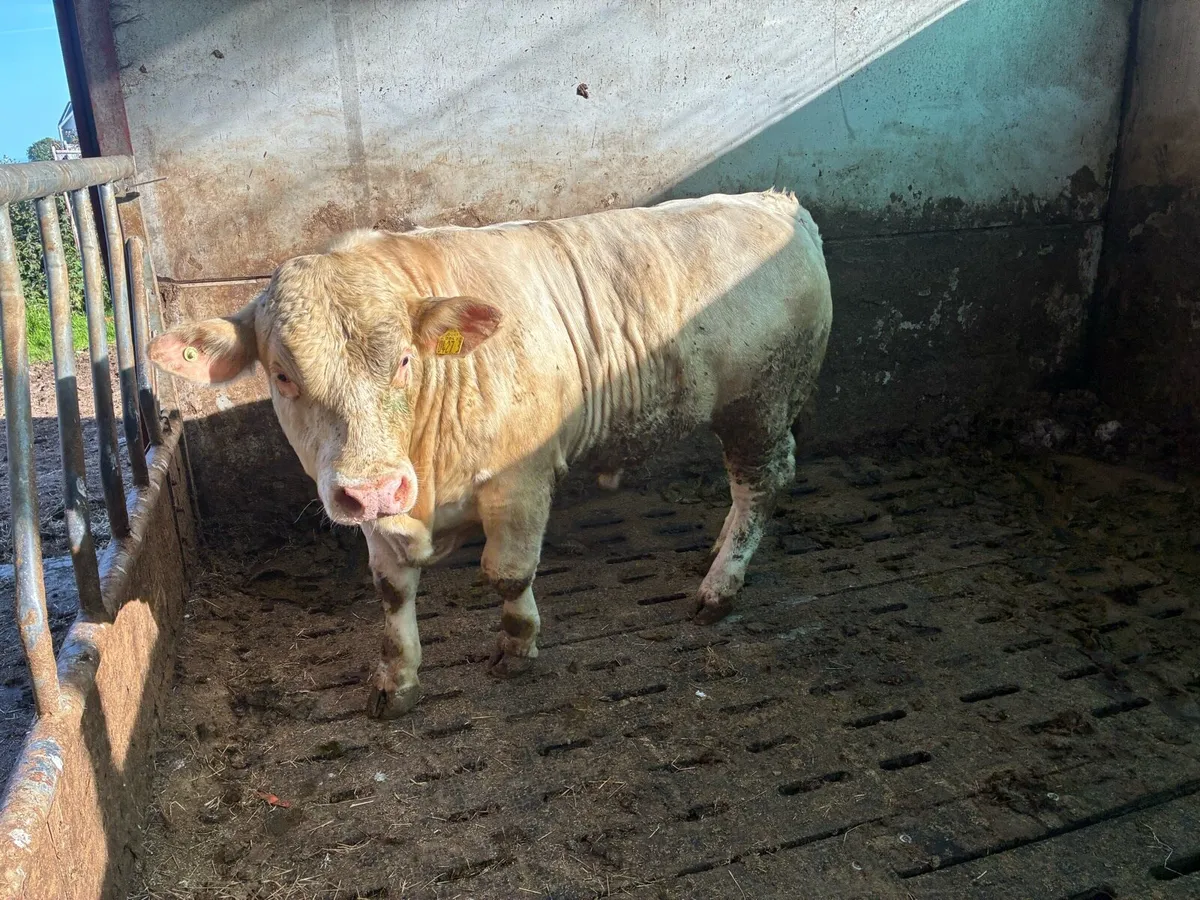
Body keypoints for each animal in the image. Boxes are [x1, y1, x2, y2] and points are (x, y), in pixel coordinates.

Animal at [149, 190, 833, 718]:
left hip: (760, 404)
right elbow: (390, 591)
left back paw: (722, 585)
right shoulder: (376, 505)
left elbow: (507, 572)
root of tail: (776, 204)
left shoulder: (521, 479)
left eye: (404, 359)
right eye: (283, 375)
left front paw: (517, 646)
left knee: (762, 483)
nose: (373, 490)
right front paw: (396, 681)